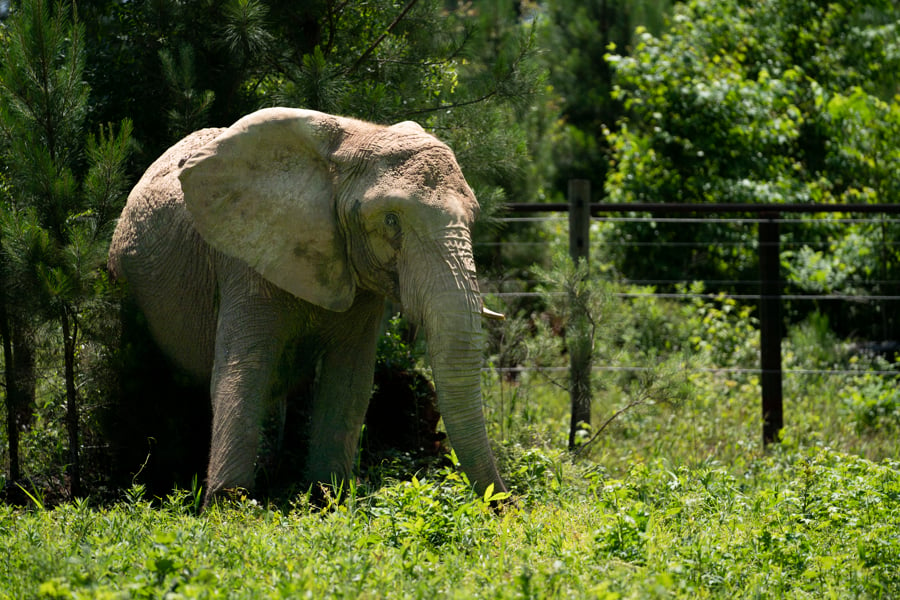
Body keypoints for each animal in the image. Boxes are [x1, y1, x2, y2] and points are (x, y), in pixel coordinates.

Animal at [107, 106, 506, 502]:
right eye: (391, 220)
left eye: (473, 218)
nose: (505, 503)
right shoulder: (243, 257)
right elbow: (243, 369)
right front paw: (230, 505)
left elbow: (351, 379)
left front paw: (326, 498)